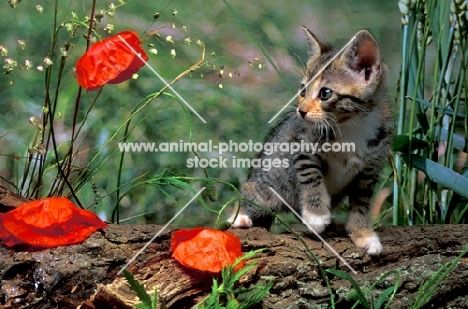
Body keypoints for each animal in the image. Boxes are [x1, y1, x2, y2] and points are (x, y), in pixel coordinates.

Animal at [229, 28, 392, 255]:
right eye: (302, 90)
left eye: (325, 93)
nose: (301, 111)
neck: (352, 125)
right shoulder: (301, 145)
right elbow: (311, 176)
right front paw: (316, 215)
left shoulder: (371, 168)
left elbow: (361, 202)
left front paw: (363, 233)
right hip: (270, 180)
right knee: (251, 191)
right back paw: (241, 216)